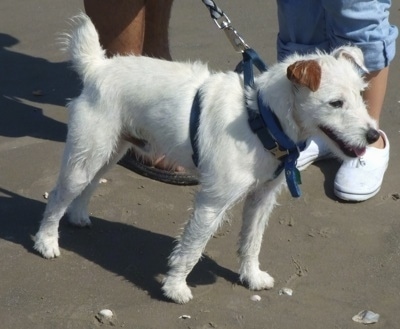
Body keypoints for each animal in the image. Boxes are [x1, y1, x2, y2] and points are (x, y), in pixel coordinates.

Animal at [33, 14, 378, 302]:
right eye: (335, 103)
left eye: (361, 96)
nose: (374, 136)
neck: (261, 118)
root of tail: (98, 67)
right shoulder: (212, 202)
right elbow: (192, 247)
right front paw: (175, 287)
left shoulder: (261, 198)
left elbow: (252, 241)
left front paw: (251, 276)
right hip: (87, 155)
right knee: (60, 194)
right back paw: (47, 241)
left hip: (108, 152)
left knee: (88, 186)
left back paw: (78, 216)